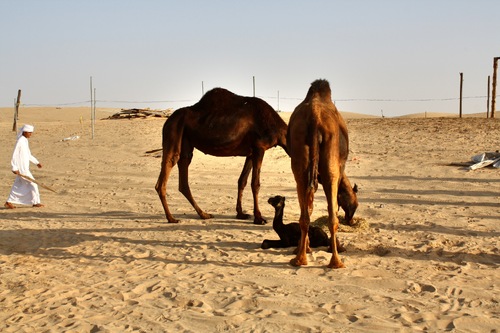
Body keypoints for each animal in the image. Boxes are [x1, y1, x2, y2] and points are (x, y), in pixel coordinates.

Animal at [156, 87, 290, 224]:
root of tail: (167, 121)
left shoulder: (251, 152)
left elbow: (242, 180)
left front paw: (241, 213)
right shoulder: (259, 147)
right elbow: (255, 184)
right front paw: (259, 218)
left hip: (186, 144)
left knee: (183, 176)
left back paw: (203, 214)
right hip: (172, 132)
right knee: (167, 169)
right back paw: (171, 218)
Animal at [288, 79, 350, 268]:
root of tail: (315, 117)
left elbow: (309, 205)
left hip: (300, 158)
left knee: (305, 213)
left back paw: (300, 258)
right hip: (331, 161)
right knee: (332, 215)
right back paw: (336, 261)